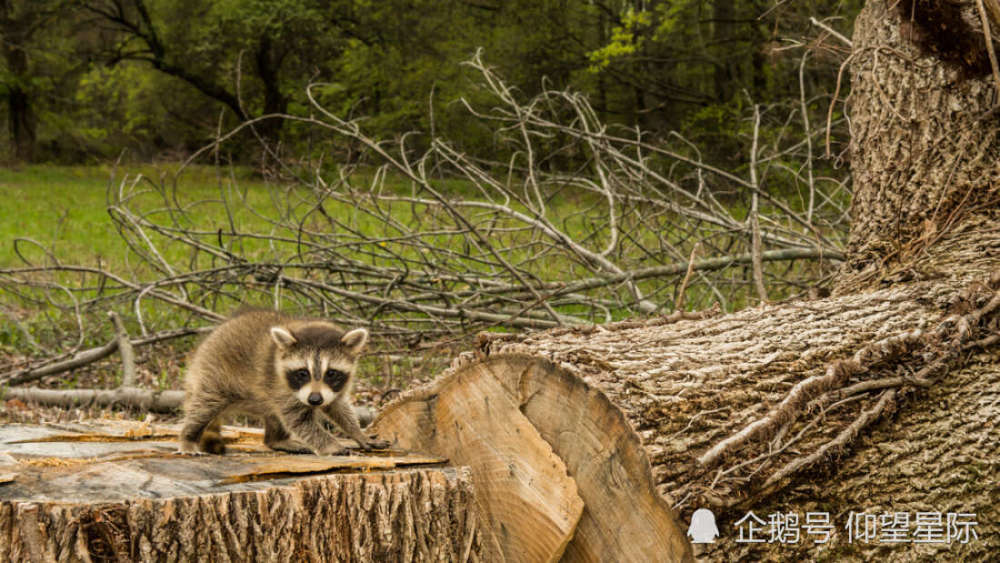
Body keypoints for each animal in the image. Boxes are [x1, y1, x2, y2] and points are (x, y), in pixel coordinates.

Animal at [178, 310, 388, 456]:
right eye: (303, 373)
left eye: (331, 373)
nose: (314, 400)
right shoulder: (280, 387)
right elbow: (299, 421)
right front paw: (331, 444)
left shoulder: (333, 389)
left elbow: (339, 408)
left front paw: (358, 433)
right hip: (213, 375)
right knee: (203, 407)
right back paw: (188, 437)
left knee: (273, 415)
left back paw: (277, 440)